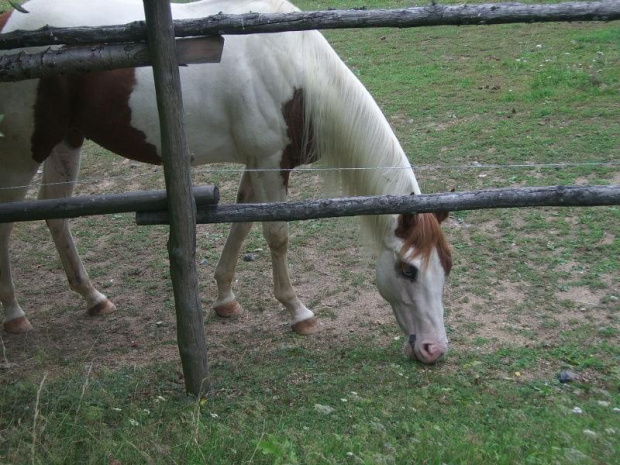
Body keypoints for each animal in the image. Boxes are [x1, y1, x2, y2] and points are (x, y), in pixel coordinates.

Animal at [0, 0, 450, 362]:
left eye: (446, 265)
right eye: (408, 270)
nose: (434, 349)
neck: (296, 71)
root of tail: (10, 23)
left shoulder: (256, 162)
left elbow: (243, 223)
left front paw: (225, 301)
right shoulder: (270, 162)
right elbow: (276, 235)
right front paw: (299, 313)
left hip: (66, 140)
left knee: (56, 215)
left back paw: (93, 298)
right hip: (23, 152)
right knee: (9, 222)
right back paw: (15, 315)